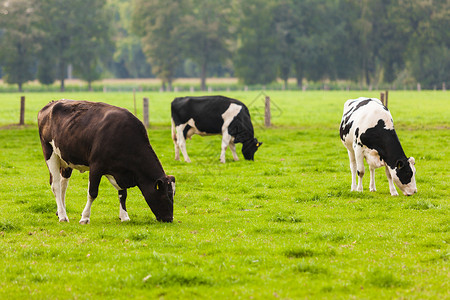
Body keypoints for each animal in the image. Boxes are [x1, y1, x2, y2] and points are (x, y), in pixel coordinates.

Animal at [37, 99, 176, 224]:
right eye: (166, 195)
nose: (169, 219)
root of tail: (51, 104)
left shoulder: (119, 171)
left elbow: (123, 193)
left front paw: (124, 216)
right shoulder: (96, 166)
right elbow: (92, 193)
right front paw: (85, 217)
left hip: (65, 159)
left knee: (63, 184)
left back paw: (61, 211)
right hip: (50, 153)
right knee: (55, 185)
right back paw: (62, 216)